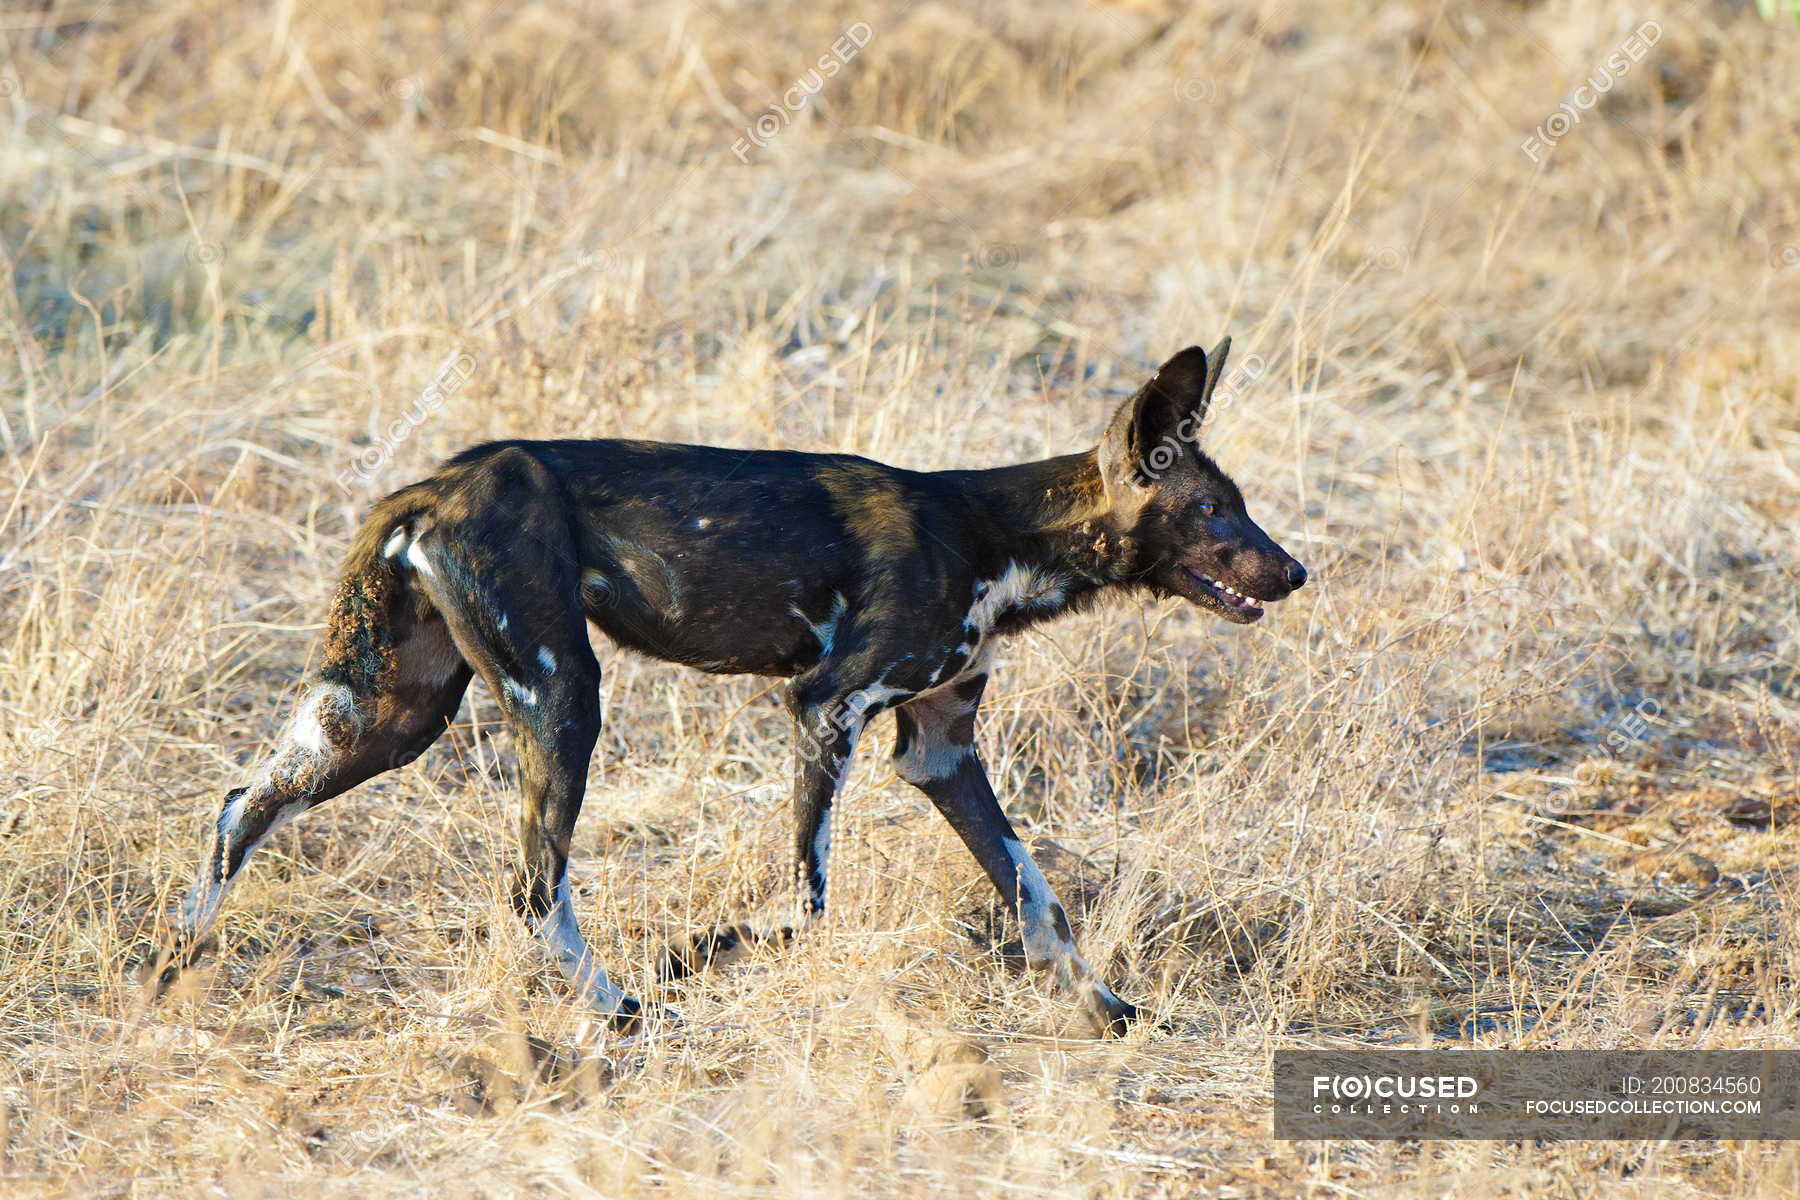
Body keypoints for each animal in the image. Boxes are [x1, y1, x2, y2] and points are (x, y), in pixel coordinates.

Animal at [147, 336, 1310, 1036]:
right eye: (1214, 512)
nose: (1295, 570)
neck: (1000, 537)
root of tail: (434, 483)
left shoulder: (939, 750)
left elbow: (1041, 898)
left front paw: (1107, 1010)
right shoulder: (824, 707)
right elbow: (808, 902)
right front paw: (692, 957)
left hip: (396, 715)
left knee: (240, 806)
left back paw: (175, 963)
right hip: (562, 699)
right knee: (532, 883)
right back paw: (622, 1008)